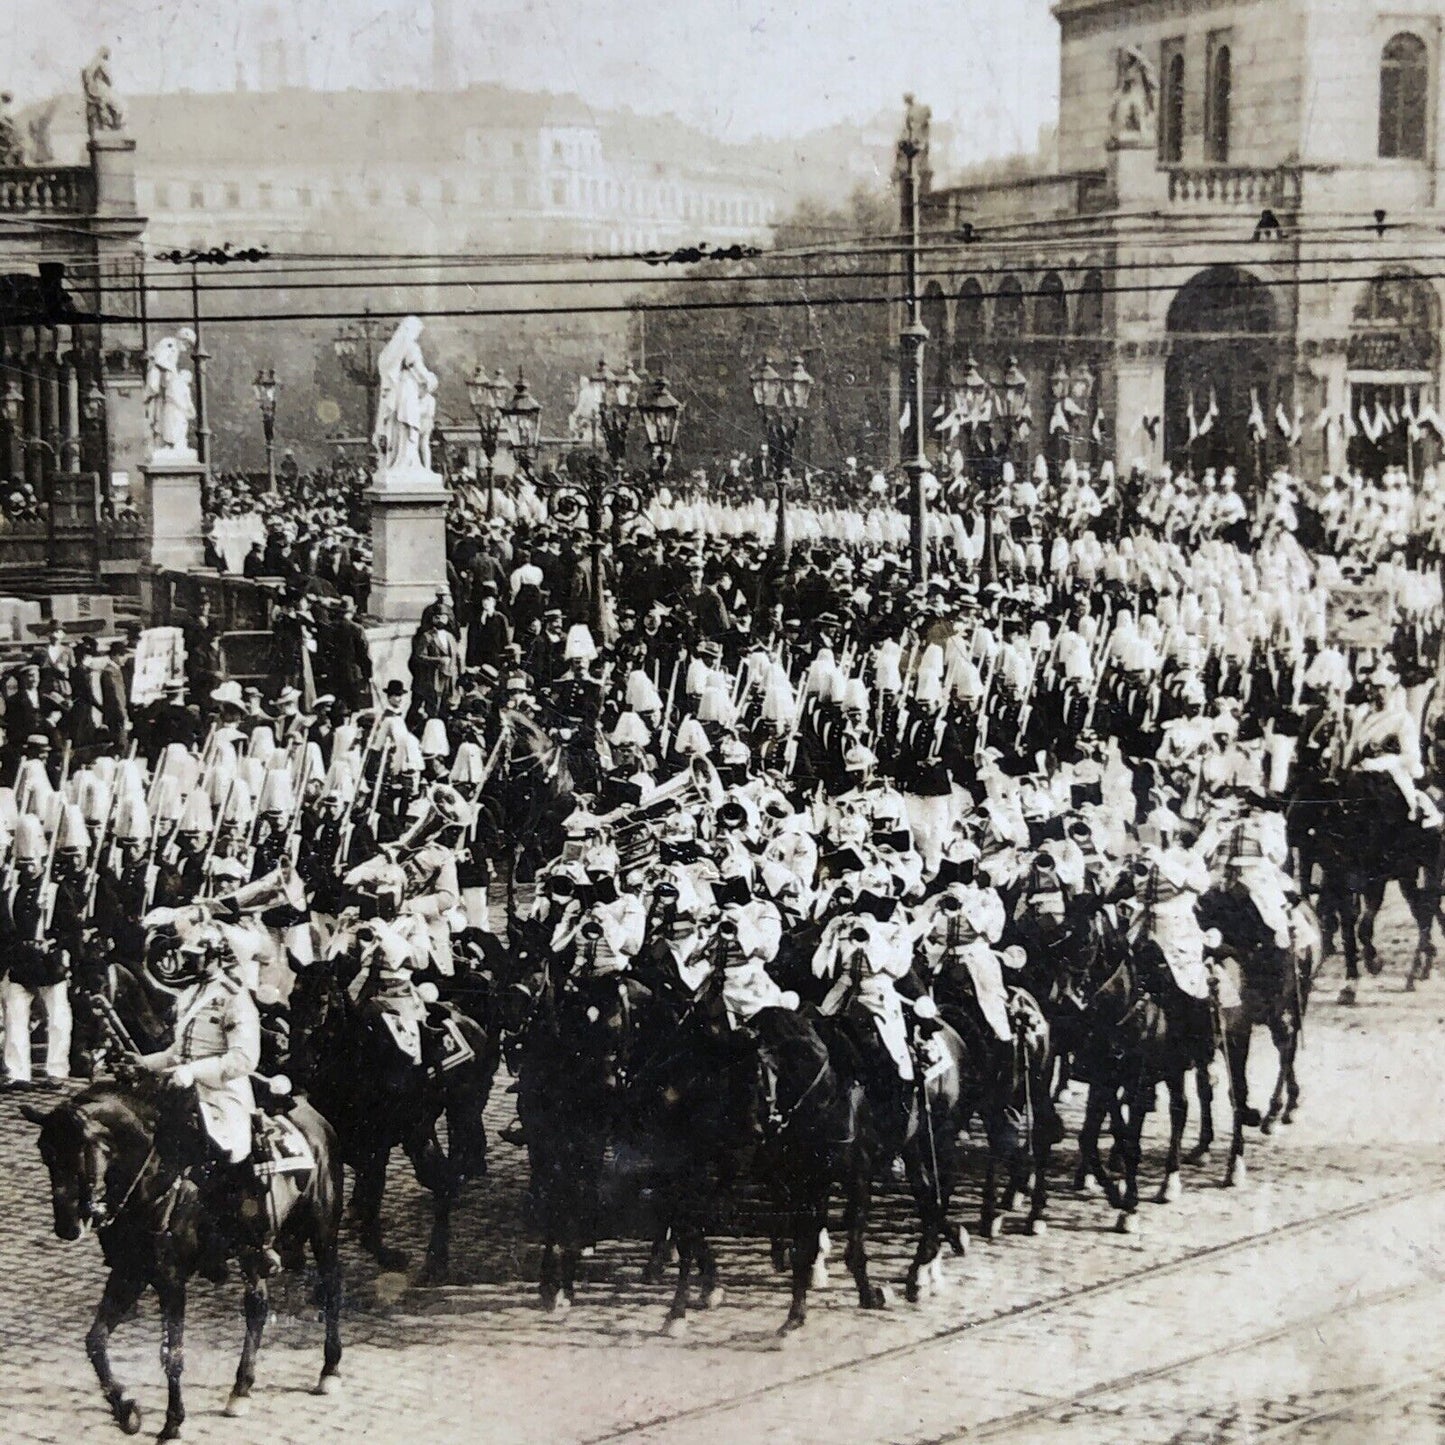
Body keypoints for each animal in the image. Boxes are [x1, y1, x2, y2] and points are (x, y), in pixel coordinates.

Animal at [23, 1080, 343, 1439]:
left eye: (78, 1153)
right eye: (45, 1153)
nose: (66, 1226)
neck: (153, 1183)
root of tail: (310, 1112)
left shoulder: (171, 1281)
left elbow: (172, 1354)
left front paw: (172, 1422)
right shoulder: (128, 1273)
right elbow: (96, 1341)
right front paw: (125, 1409)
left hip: (323, 1230)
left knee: (330, 1289)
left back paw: (329, 1370)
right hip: (253, 1252)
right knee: (257, 1306)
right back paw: (241, 1389)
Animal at [281, 953, 497, 1283]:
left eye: (323, 1000)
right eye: (293, 998)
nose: (297, 1065)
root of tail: (472, 1024)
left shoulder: (375, 1149)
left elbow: (371, 1203)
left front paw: (385, 1253)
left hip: (462, 1113)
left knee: (447, 1178)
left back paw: (435, 1260)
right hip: (423, 1131)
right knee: (441, 1177)